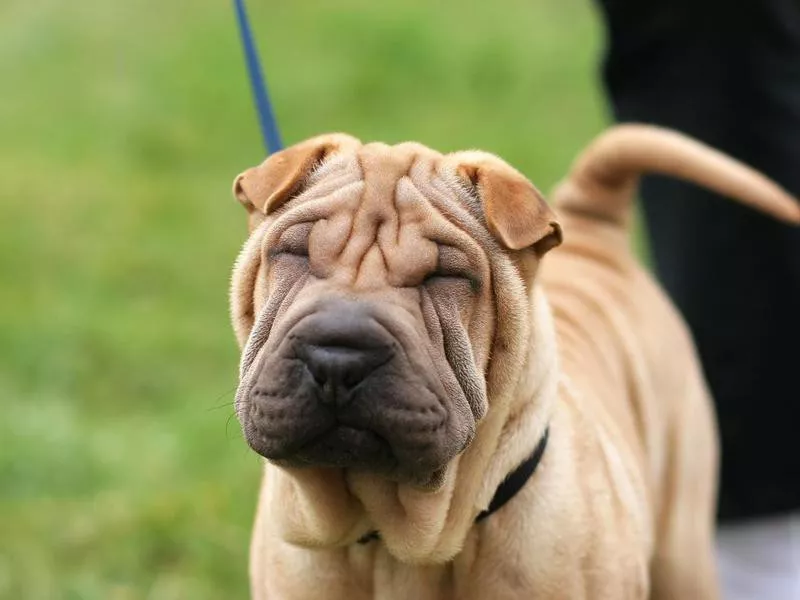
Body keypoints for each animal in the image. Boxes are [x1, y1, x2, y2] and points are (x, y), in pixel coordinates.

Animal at [227, 124, 800, 596]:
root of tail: (596, 230)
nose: (339, 357)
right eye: (294, 253)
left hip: (683, 546)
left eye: (447, 277)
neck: (400, 546)